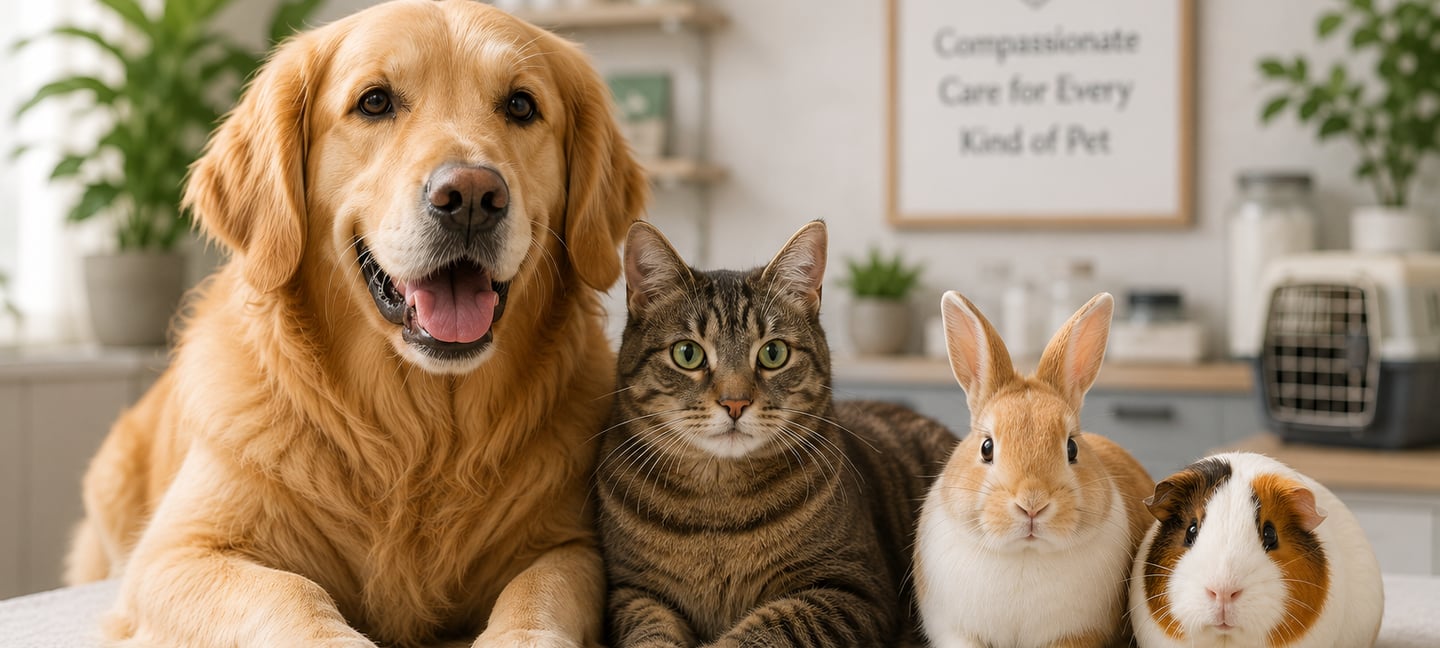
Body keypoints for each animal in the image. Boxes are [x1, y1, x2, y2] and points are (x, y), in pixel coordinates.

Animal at [914, 291, 1155, 648]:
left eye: (1072, 448)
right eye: (986, 448)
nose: (1032, 503)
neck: (1025, 554)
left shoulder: (1077, 635)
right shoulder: (955, 631)